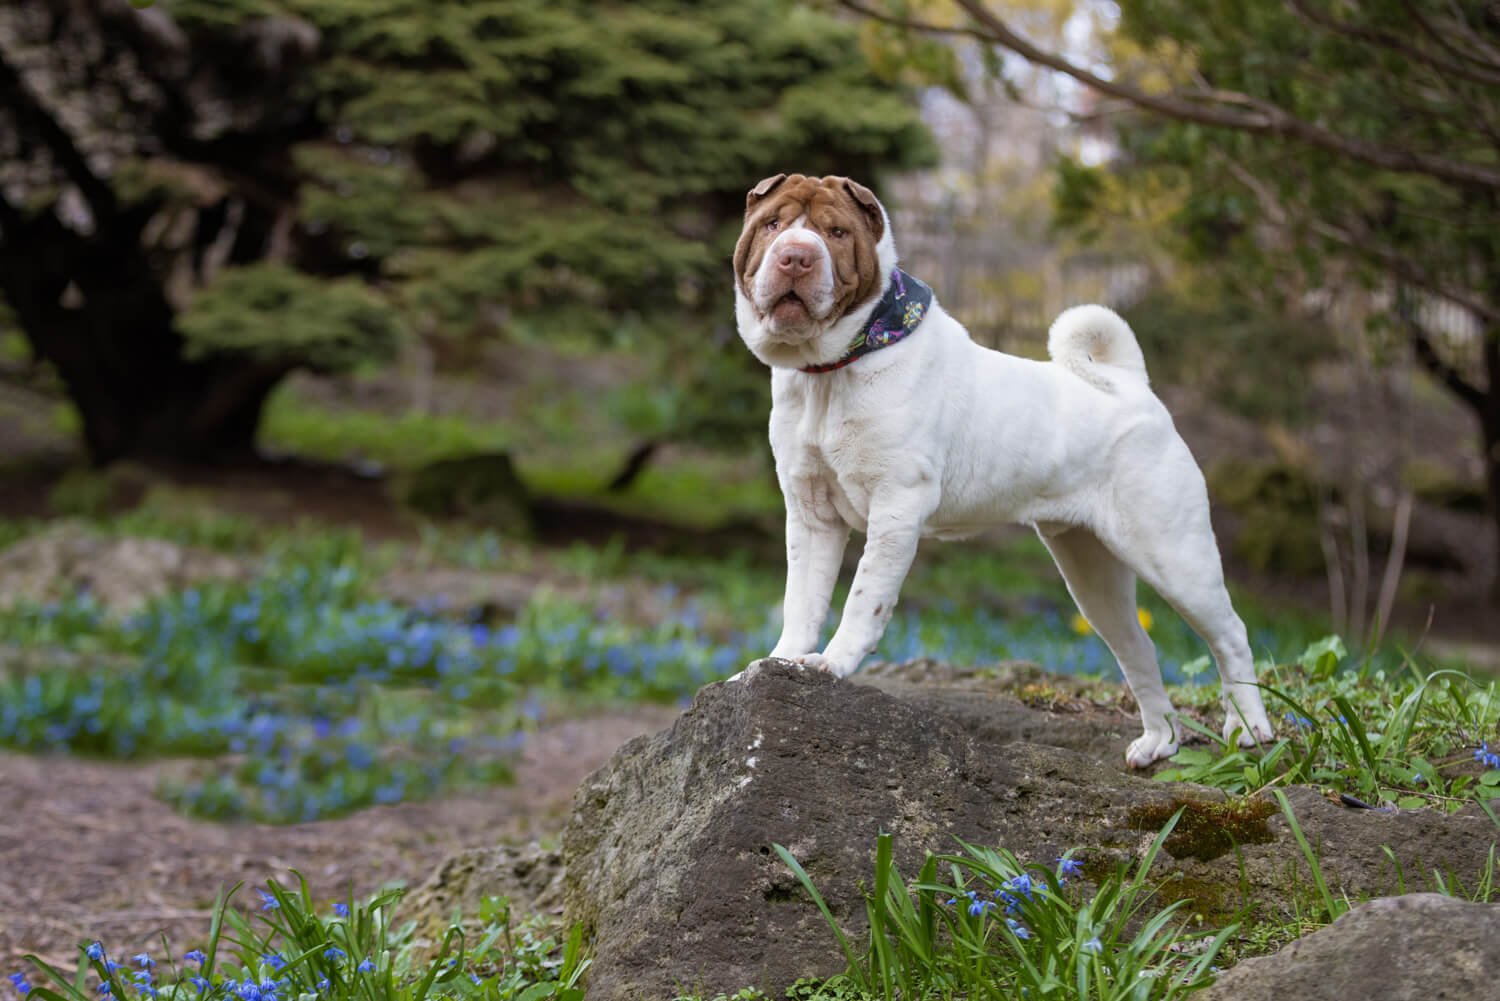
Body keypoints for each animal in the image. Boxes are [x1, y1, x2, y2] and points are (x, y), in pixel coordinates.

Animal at [732, 172, 1272, 768]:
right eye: (773, 224)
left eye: (835, 232)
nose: (797, 256)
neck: (832, 370)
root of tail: (1133, 386)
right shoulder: (811, 514)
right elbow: (801, 600)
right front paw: (777, 662)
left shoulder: (896, 506)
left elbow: (862, 599)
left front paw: (833, 664)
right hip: (1090, 569)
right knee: (1139, 649)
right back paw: (1159, 741)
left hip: (1174, 555)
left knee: (1231, 634)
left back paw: (1249, 729)